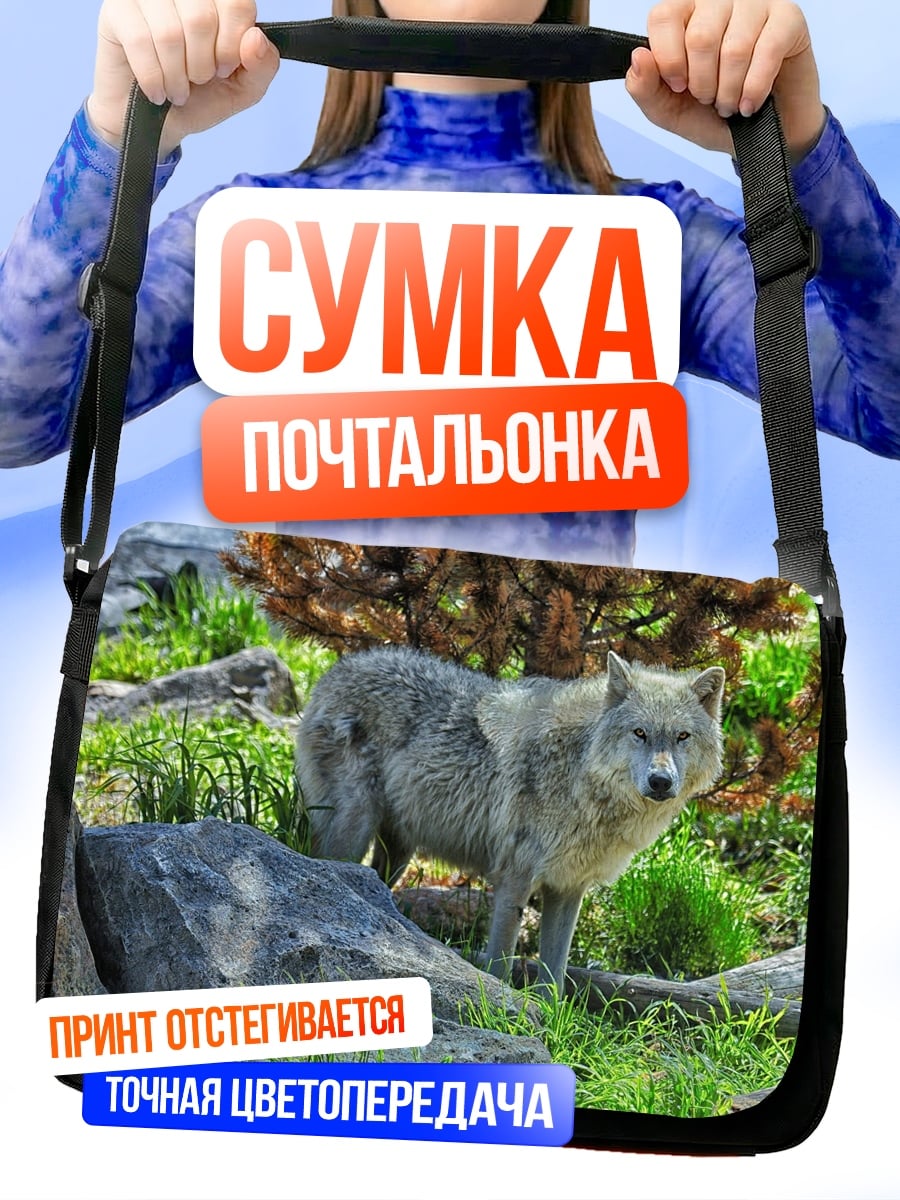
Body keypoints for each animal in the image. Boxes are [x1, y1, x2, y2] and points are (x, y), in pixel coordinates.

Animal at [296, 645, 725, 992]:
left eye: (682, 736)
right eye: (640, 733)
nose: (660, 781)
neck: (581, 775)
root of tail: (337, 670)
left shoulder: (568, 888)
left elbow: (555, 973)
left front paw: (551, 1019)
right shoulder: (515, 878)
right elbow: (501, 959)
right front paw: (504, 1010)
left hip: (397, 854)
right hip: (354, 832)